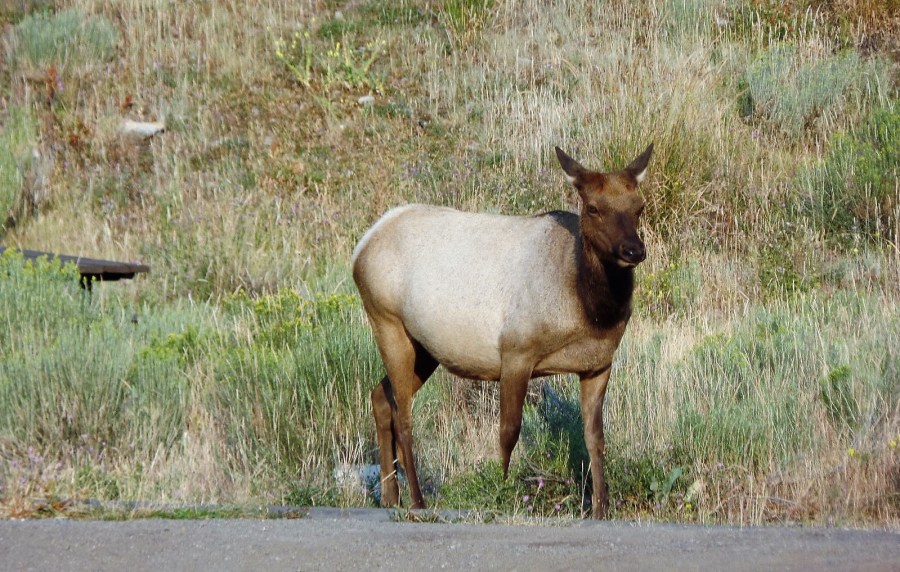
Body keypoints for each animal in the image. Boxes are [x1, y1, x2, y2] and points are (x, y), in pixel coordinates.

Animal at [351, 144, 653, 518]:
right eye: (594, 208)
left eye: (639, 207)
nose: (633, 250)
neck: (590, 312)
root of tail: (361, 247)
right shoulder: (516, 352)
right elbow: (508, 432)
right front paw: (502, 490)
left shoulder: (598, 363)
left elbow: (595, 438)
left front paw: (601, 509)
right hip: (387, 322)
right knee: (403, 414)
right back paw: (418, 501)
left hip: (423, 348)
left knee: (381, 396)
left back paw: (390, 495)